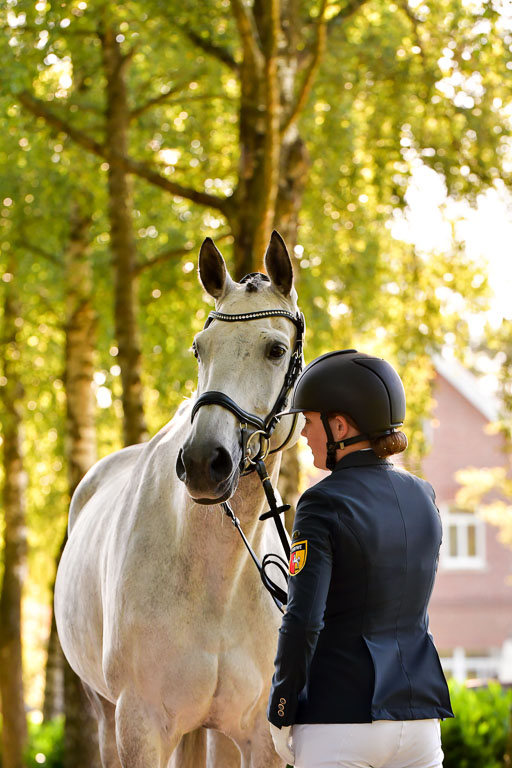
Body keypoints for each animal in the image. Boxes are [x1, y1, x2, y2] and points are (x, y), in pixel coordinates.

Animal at [54, 231, 304, 768]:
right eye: (199, 349)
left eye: (275, 349)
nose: (204, 461)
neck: (215, 579)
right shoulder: (140, 724)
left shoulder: (260, 735)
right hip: (104, 712)